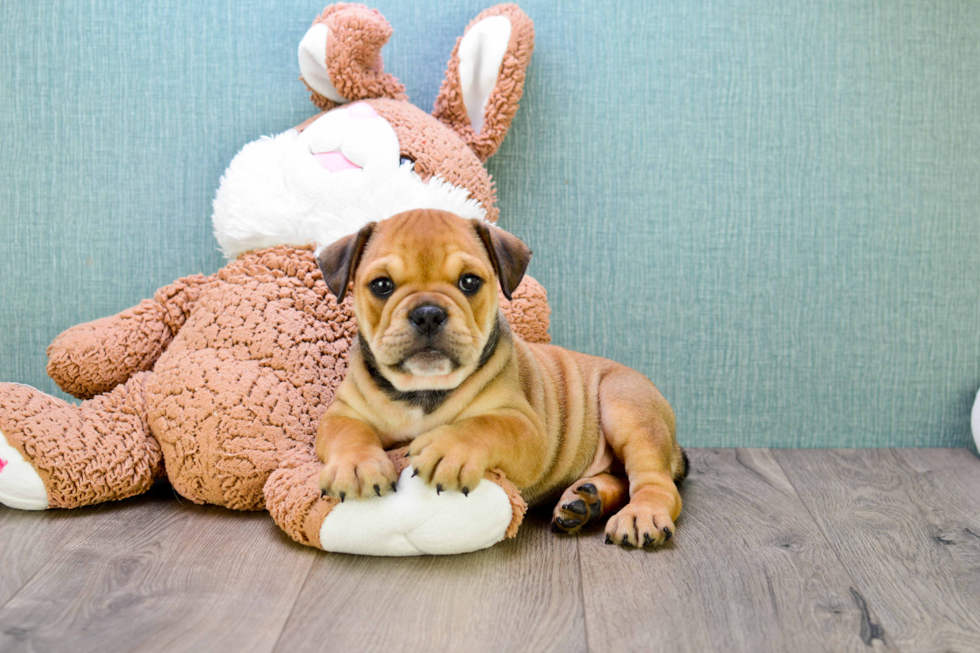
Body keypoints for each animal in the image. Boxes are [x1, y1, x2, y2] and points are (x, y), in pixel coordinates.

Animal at [318, 209, 684, 544]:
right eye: (381, 285)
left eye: (469, 282)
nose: (428, 313)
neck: (424, 389)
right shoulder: (344, 412)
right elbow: (347, 432)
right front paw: (357, 465)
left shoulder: (525, 427)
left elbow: (485, 425)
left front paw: (449, 447)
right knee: (620, 479)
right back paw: (584, 501)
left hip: (627, 408)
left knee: (654, 481)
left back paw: (641, 514)